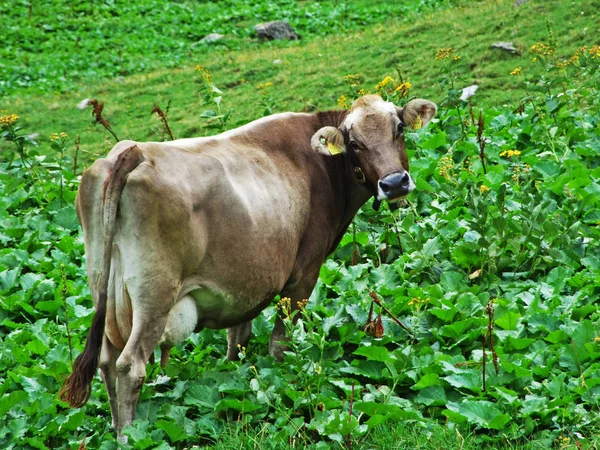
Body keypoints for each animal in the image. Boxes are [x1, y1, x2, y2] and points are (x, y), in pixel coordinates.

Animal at [59, 93, 436, 442]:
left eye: (399, 128)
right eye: (354, 143)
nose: (394, 183)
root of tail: (131, 151)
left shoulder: (243, 283)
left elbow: (237, 338)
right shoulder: (303, 276)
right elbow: (280, 343)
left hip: (106, 292)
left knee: (106, 362)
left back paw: (113, 427)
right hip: (154, 296)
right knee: (129, 366)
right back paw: (129, 435)